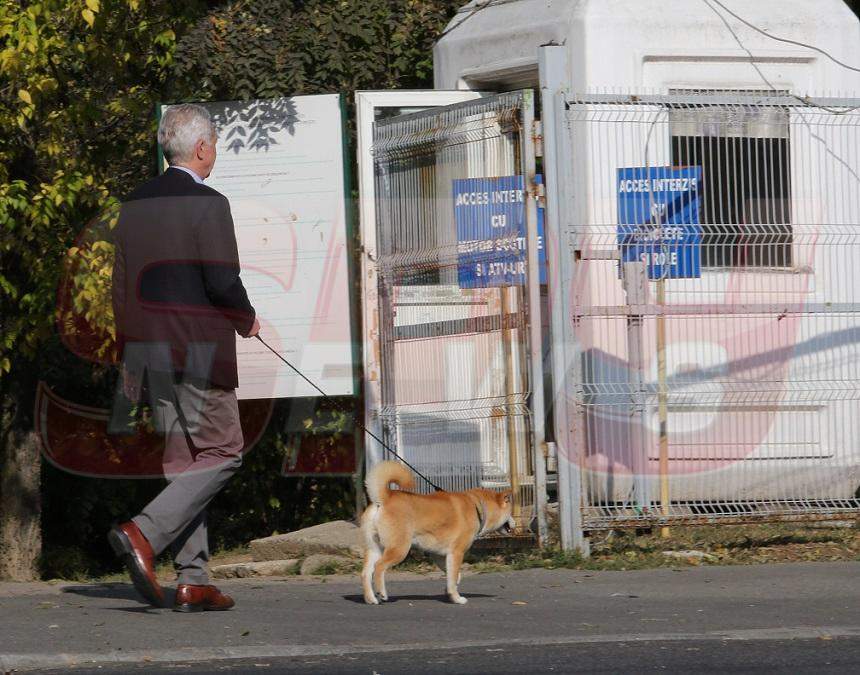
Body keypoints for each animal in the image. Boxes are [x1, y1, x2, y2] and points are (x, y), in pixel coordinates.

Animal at [360, 462, 512, 604]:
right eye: (510, 512)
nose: (515, 522)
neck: (477, 507)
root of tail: (384, 498)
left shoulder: (439, 555)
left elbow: (453, 576)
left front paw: (451, 590)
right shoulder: (456, 553)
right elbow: (453, 577)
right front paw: (457, 598)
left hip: (375, 548)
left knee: (366, 573)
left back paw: (370, 599)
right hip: (399, 549)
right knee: (379, 567)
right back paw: (381, 593)